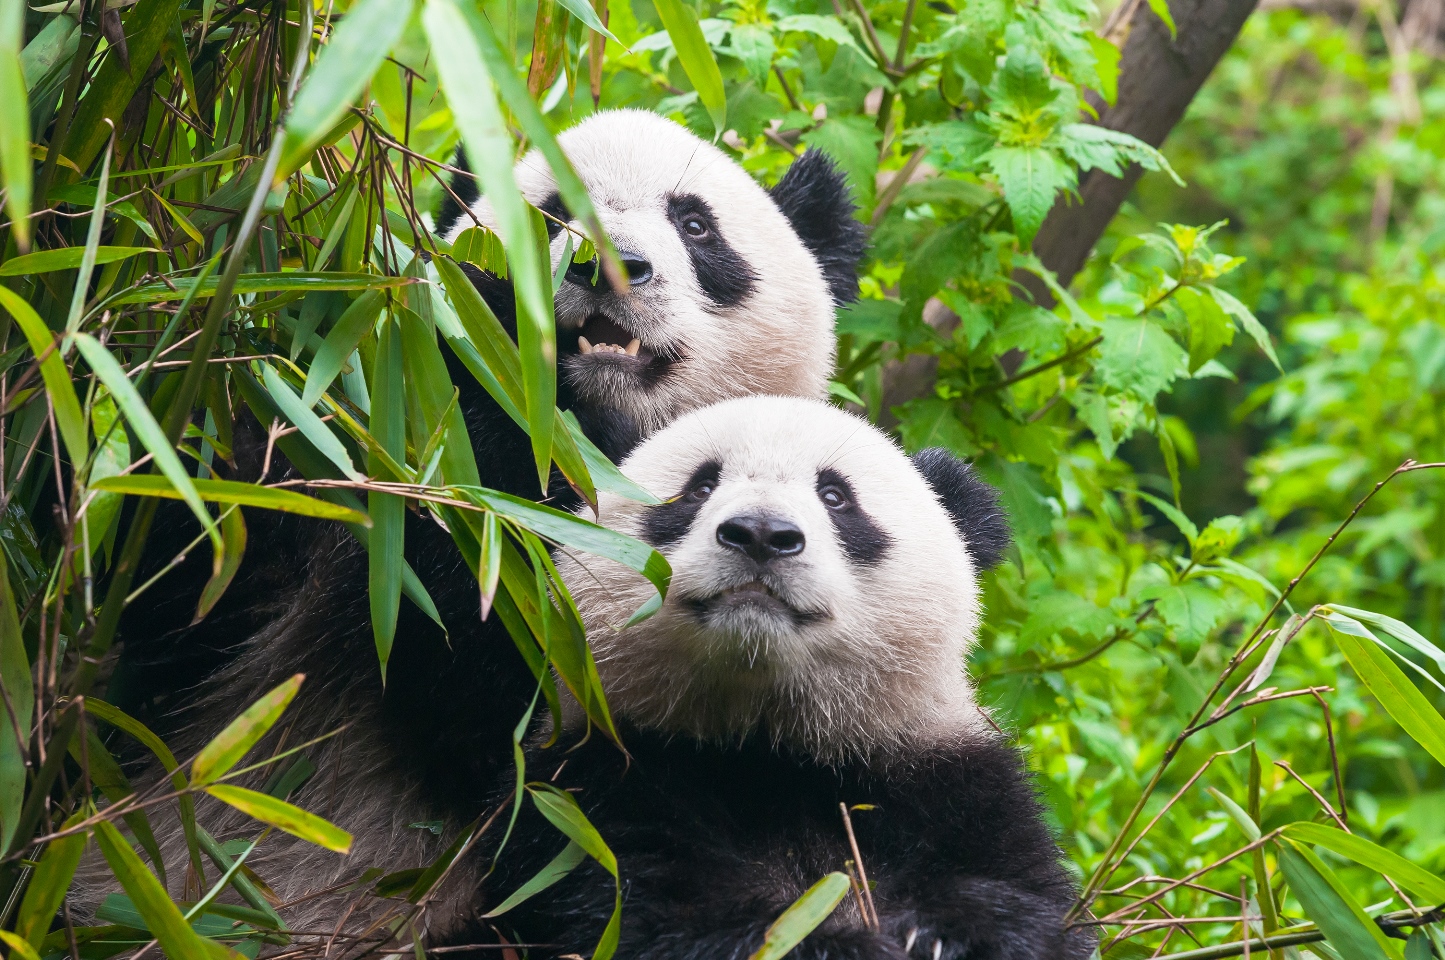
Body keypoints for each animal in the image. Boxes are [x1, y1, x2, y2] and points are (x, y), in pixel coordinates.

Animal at [461, 395, 1092, 960]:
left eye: (836, 496)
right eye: (699, 488)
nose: (761, 533)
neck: (773, 740)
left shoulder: (949, 784)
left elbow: (1025, 897)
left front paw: (947, 936)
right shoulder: (592, 785)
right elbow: (651, 911)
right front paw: (841, 946)